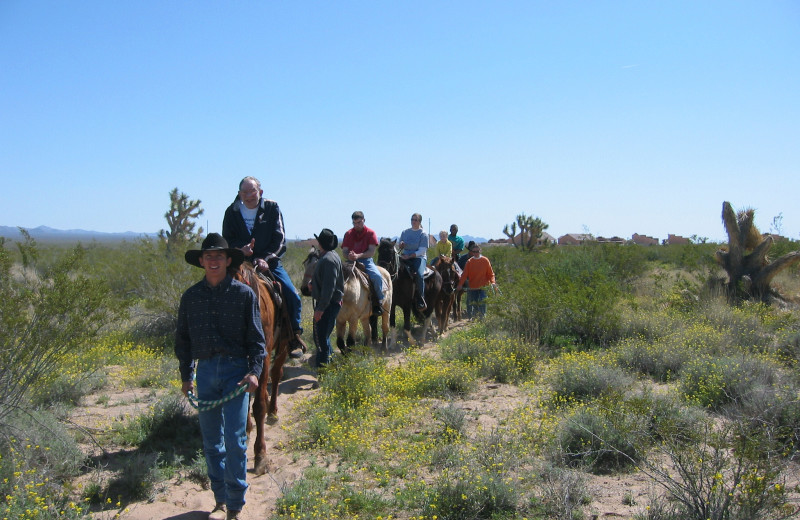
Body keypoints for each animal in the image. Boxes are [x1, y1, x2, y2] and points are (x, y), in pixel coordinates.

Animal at [231, 264, 294, 476]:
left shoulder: (263, 356)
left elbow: (258, 406)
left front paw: (260, 455)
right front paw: (246, 429)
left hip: (282, 346)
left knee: (276, 376)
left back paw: (272, 410)